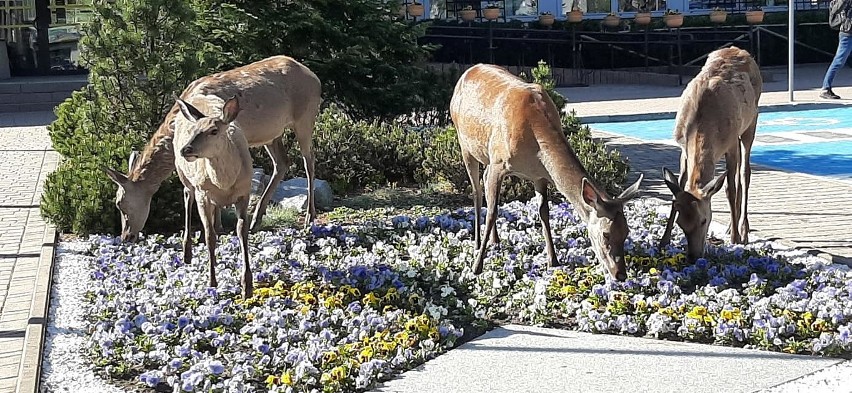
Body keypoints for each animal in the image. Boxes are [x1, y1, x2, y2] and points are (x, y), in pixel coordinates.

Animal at [102, 54, 322, 242]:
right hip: (271, 133)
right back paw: (256, 219)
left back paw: (309, 216)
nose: (126, 236)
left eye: (119, 203)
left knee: (308, 161)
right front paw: (217, 226)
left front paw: (216, 227)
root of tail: (316, 78)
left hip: (305, 117)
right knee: (282, 163)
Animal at [171, 95, 255, 298]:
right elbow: (209, 236)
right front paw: (212, 280)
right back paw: (187, 253)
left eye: (214, 131)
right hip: (184, 175)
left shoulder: (244, 191)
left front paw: (247, 286)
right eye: (193, 130)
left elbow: (242, 231)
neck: (225, 184)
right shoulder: (203, 192)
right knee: (187, 196)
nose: (185, 149)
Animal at [450, 63, 644, 278]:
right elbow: (492, 212)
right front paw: (477, 266)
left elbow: (544, 212)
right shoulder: (498, 161)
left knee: (483, 182)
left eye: (626, 232)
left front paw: (553, 260)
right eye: (606, 234)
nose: (620, 274)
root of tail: (466, 73)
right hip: (464, 143)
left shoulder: (539, 176)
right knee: (476, 190)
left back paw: (496, 240)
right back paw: (477, 243)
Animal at [656, 46, 764, 260]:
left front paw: (735, 239)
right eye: (681, 223)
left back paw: (743, 230)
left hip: (751, 122)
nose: (694, 256)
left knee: (744, 174)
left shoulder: (731, 143)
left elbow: (730, 188)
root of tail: (740, 50)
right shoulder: (682, 148)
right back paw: (732, 226)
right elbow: (678, 184)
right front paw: (664, 240)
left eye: (704, 220)